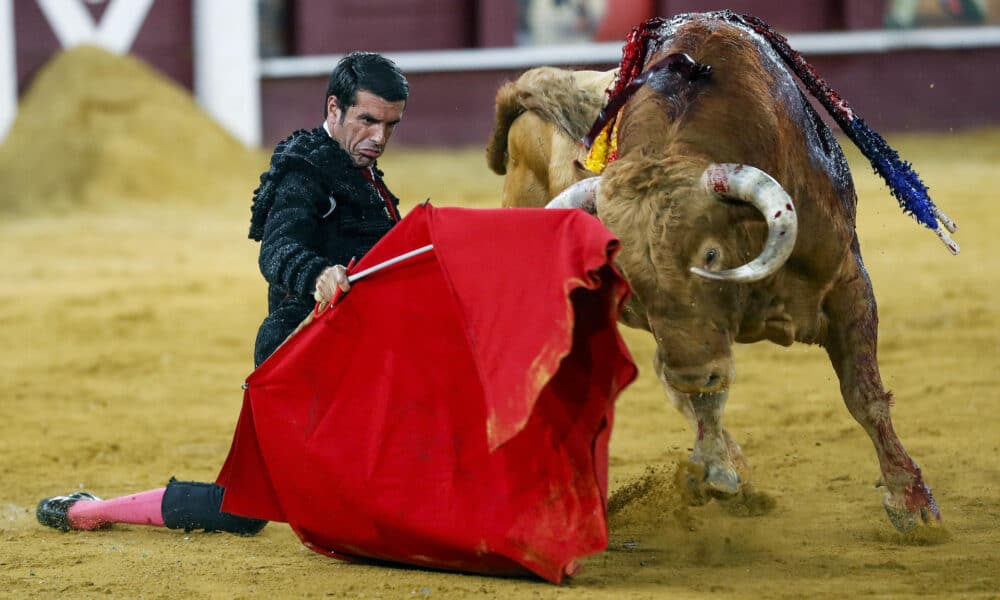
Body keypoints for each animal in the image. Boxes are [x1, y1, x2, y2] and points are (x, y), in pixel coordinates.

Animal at [486, 10, 960, 536]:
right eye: (627, 274)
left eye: (711, 255)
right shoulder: (686, 338)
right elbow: (703, 394)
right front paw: (718, 472)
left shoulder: (847, 283)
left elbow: (864, 394)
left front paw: (912, 502)